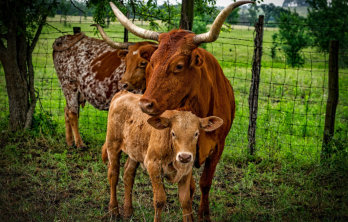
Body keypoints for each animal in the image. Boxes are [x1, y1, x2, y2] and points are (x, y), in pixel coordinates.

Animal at [102, 91, 222, 221]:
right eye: (173, 133)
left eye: (196, 133)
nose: (184, 156)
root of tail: (123, 93)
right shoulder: (153, 165)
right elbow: (159, 200)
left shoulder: (186, 171)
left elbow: (185, 201)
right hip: (112, 145)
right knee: (113, 175)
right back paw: (114, 211)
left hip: (134, 151)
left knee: (128, 175)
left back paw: (128, 211)